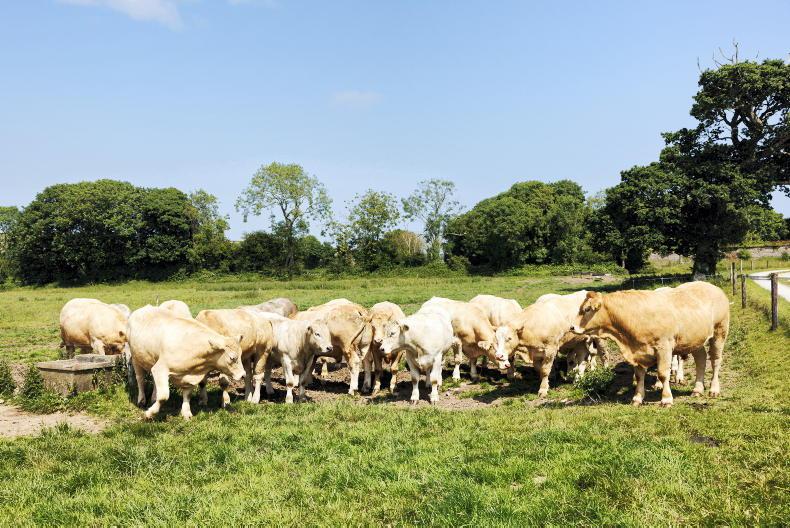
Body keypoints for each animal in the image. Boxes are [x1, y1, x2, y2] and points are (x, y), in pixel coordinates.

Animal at [571, 281, 730, 406]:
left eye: (587, 309)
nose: (572, 327)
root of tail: (713, 287)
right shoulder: (638, 351)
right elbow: (639, 375)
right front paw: (637, 398)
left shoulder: (664, 347)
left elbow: (663, 374)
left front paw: (666, 399)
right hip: (695, 340)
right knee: (701, 359)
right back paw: (697, 389)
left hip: (720, 332)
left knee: (715, 361)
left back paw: (714, 390)